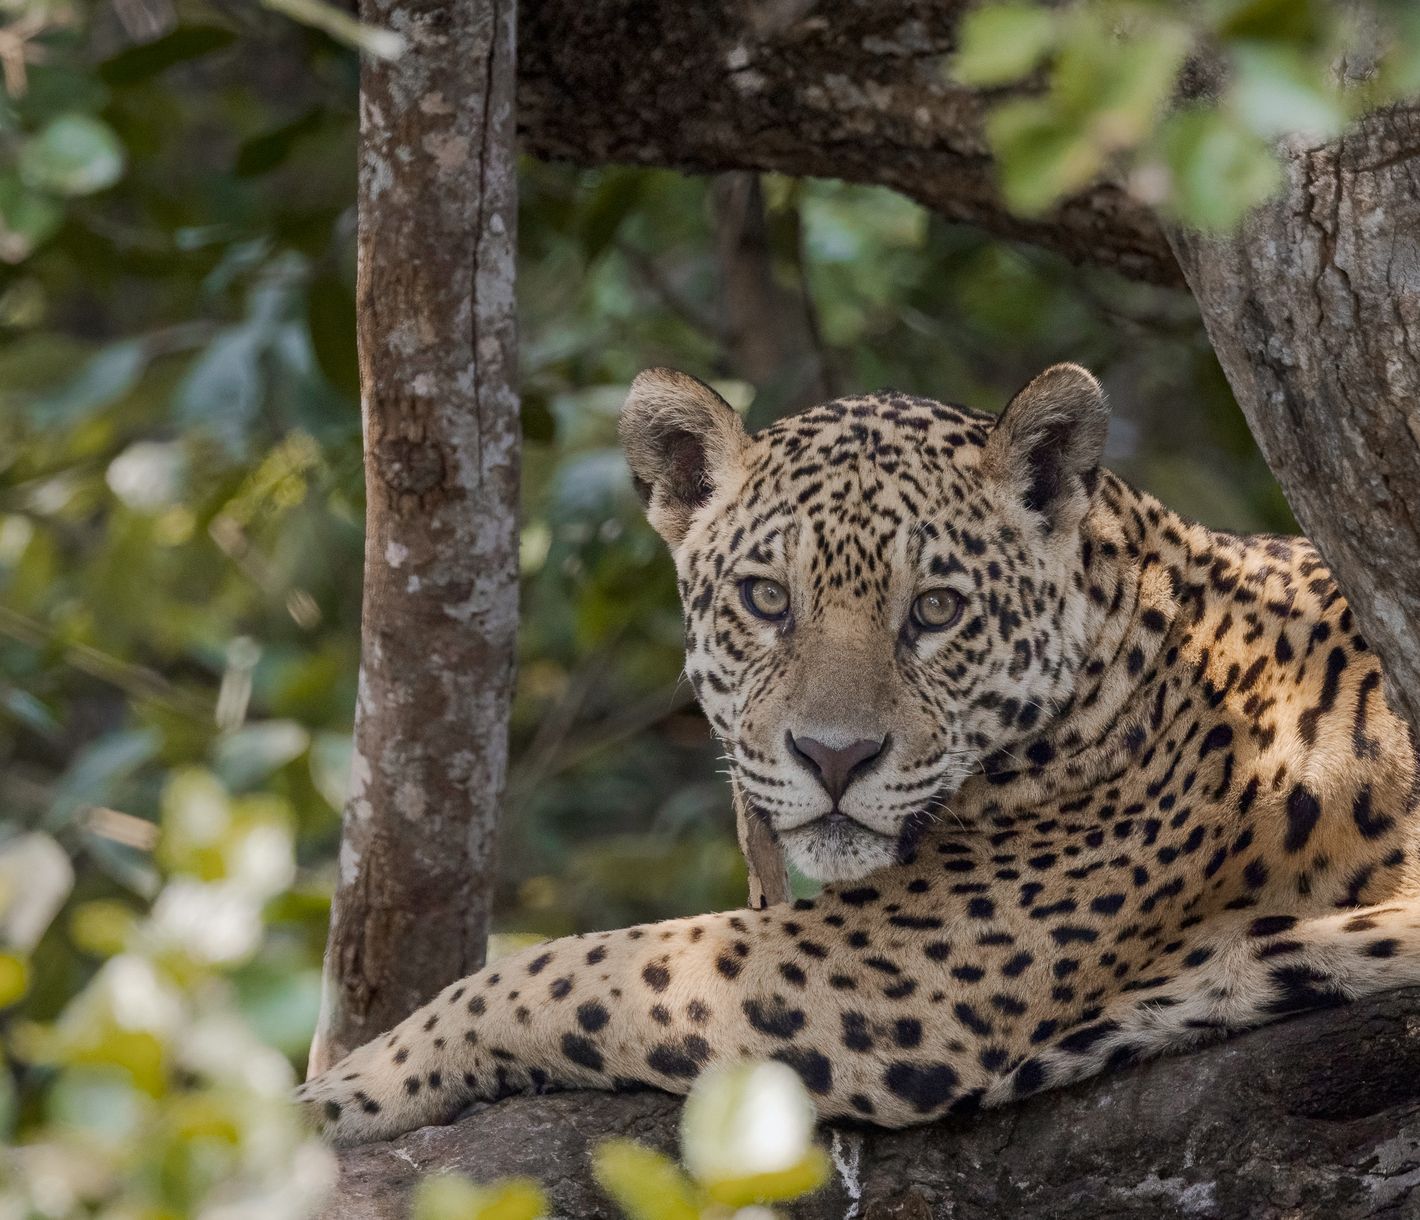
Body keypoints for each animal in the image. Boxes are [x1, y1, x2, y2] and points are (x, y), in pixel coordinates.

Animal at [298, 362, 1420, 1146]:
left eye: (935, 610)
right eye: (765, 599)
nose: (833, 759)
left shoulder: (912, 969)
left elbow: (571, 966)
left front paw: (348, 1089)